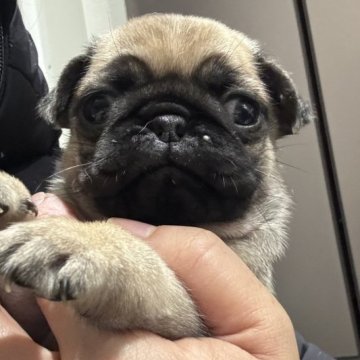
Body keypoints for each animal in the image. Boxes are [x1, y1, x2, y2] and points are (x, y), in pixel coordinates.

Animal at [0, 14, 310, 338]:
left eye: (245, 111)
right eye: (96, 107)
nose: (168, 121)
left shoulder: (194, 319)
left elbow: (153, 272)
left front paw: (81, 241)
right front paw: (6, 188)